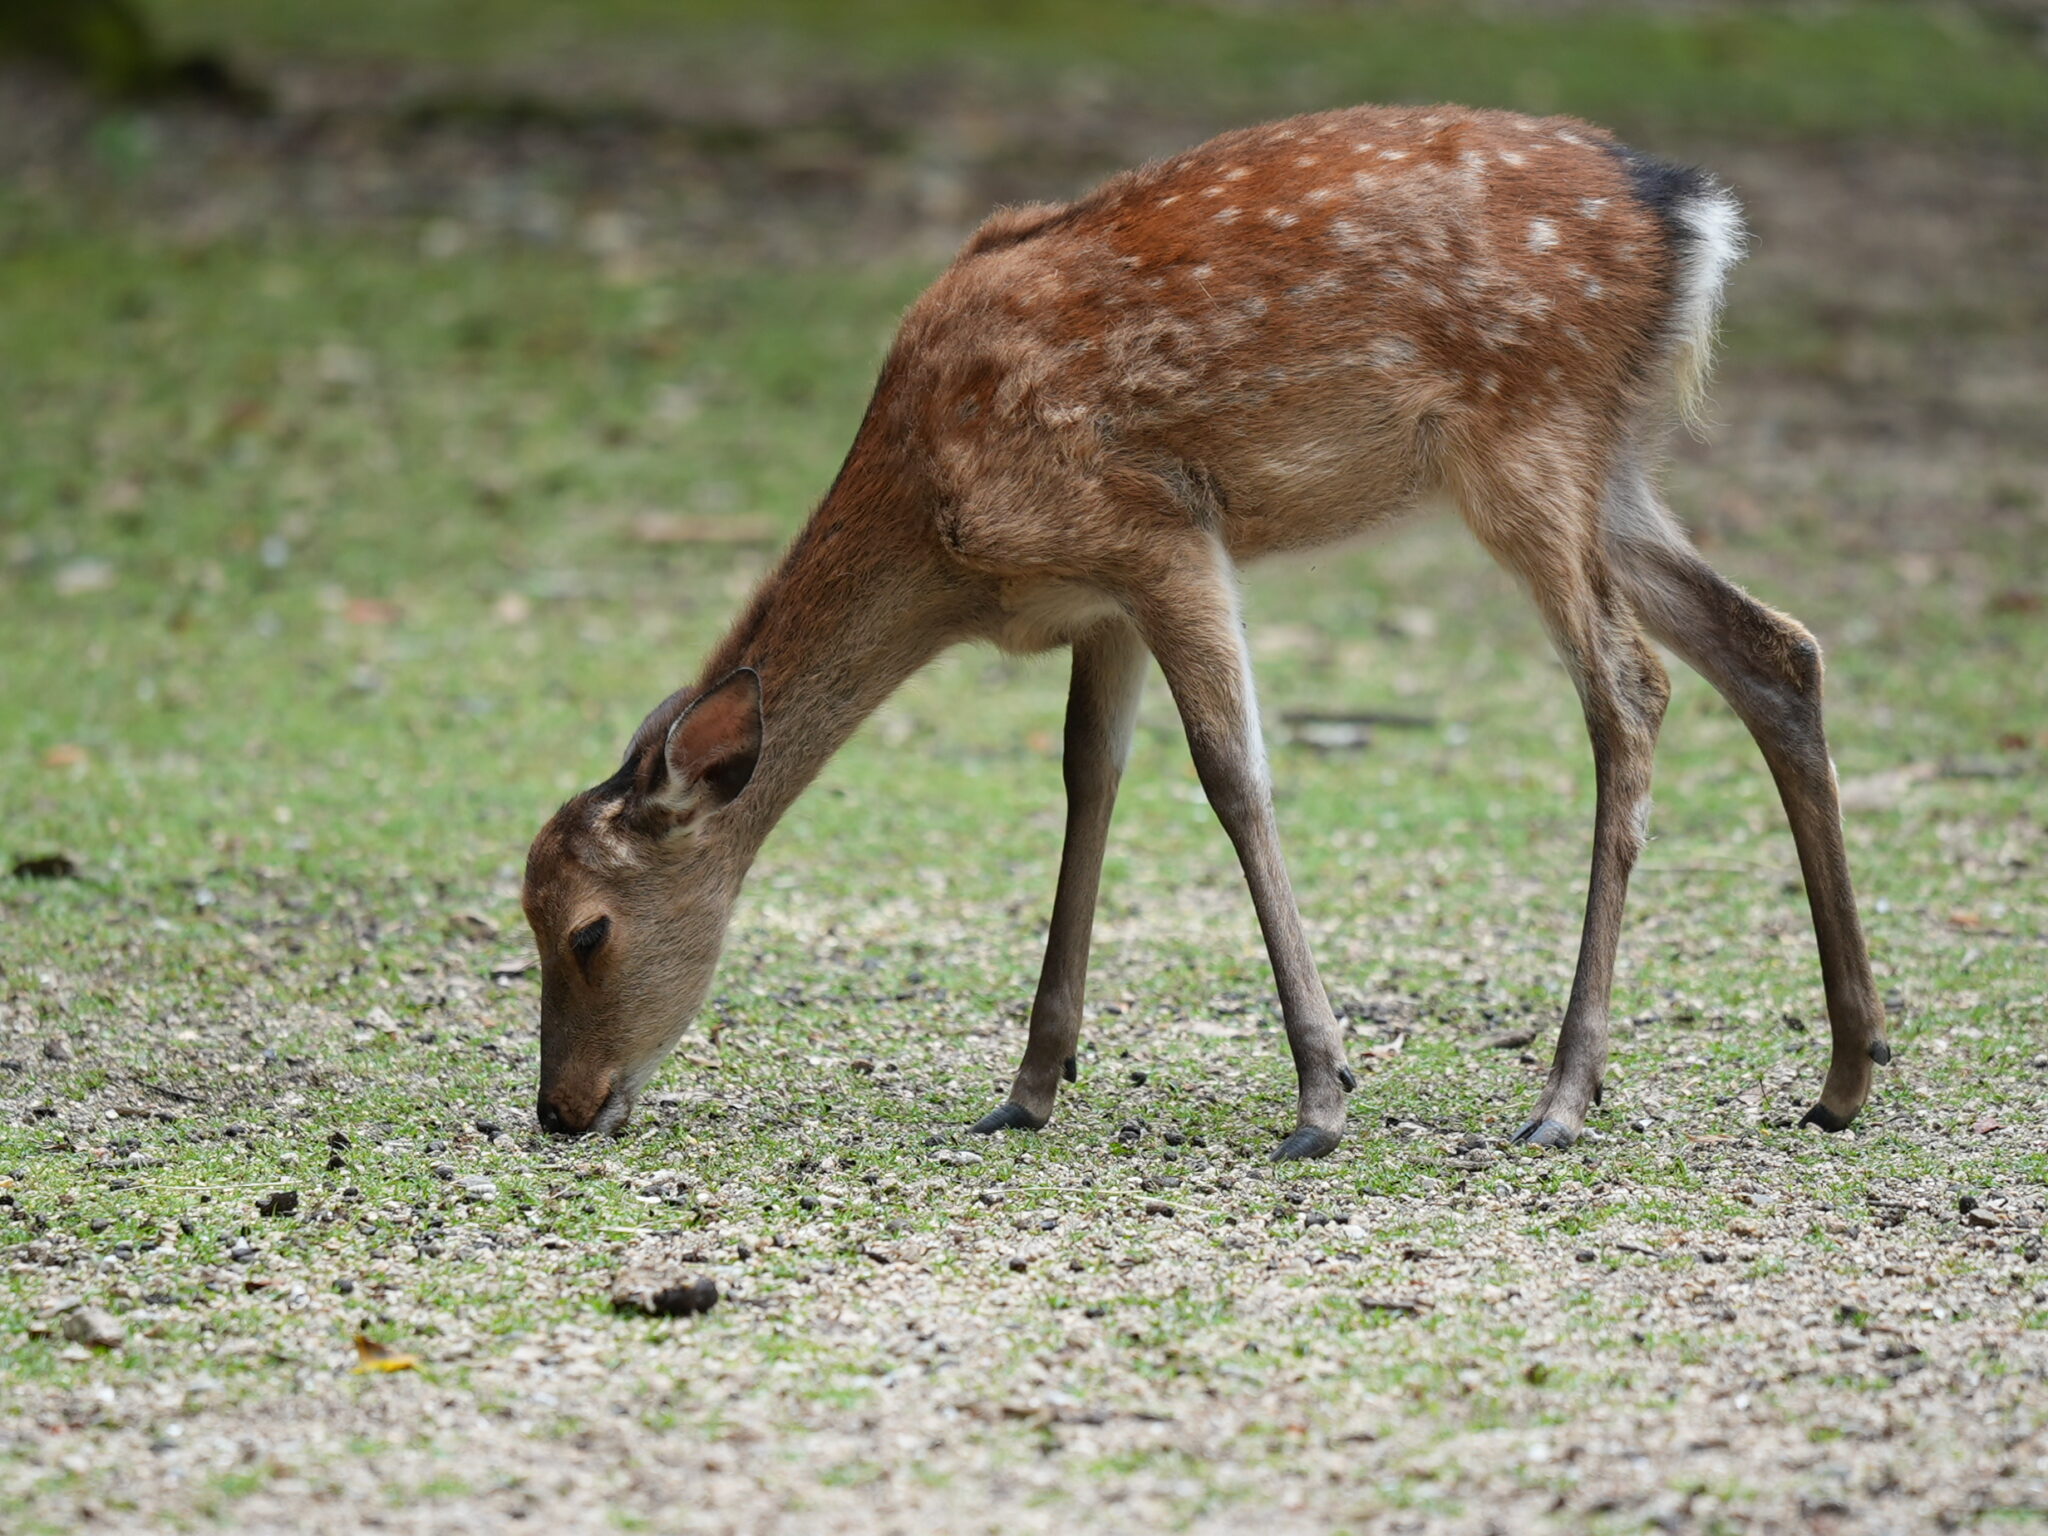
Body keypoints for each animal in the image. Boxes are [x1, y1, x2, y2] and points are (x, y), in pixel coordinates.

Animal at [521, 104, 1890, 1160]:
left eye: (587, 929)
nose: (560, 1108)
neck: (942, 534)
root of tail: (1691, 216)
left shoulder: (1158, 532)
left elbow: (1231, 773)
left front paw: (1322, 1098)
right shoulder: (1099, 600)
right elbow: (1087, 780)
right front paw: (1027, 1090)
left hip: (1525, 441)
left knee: (1630, 687)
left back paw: (1561, 1095)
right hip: (1608, 466)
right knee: (1776, 646)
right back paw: (1844, 1072)